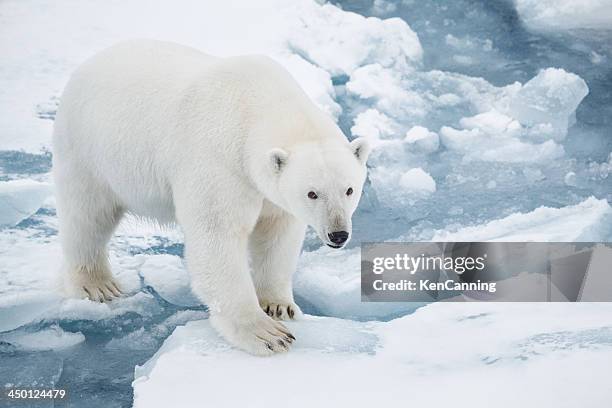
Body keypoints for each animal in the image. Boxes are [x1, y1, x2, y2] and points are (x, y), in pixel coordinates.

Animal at [52, 40, 370, 354]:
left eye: (349, 189)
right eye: (312, 193)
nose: (338, 234)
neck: (257, 105)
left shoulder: (268, 191)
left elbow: (277, 234)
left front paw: (279, 306)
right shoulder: (220, 161)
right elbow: (218, 237)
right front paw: (267, 334)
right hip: (89, 150)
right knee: (88, 217)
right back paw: (97, 284)